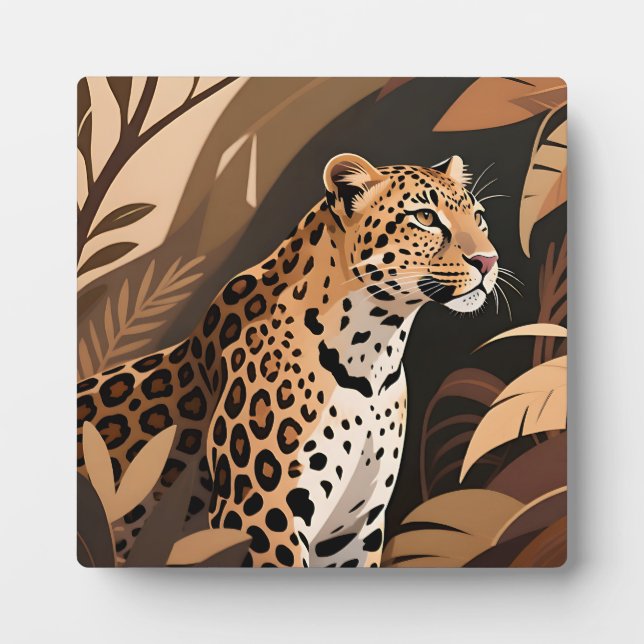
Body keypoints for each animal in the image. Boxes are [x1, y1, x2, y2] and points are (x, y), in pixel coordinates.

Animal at [77, 152, 499, 567]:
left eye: (478, 216)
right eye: (425, 217)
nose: (488, 261)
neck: (373, 358)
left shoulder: (354, 528)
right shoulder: (260, 513)